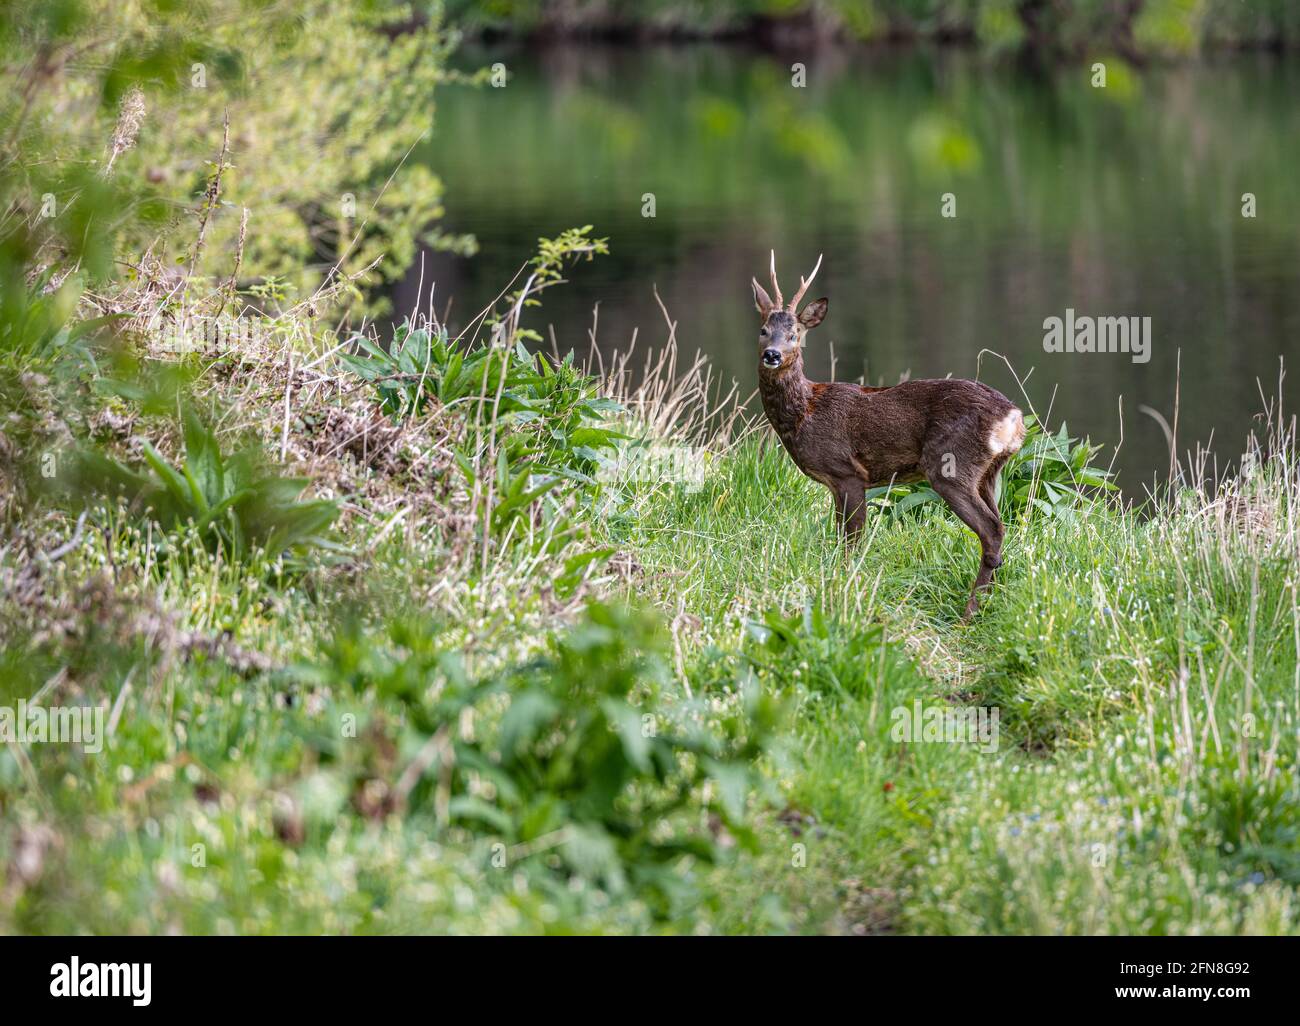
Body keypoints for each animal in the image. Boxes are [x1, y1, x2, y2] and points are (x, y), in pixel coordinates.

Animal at [751, 252, 1026, 619]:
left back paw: (968, 615)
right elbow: (840, 536)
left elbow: (851, 542)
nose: (773, 354)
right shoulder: (835, 483)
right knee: (999, 525)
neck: (805, 412)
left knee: (991, 530)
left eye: (795, 334)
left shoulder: (847, 472)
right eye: (764, 330)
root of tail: (1013, 417)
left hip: (951, 464)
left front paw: (846, 584)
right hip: (990, 473)